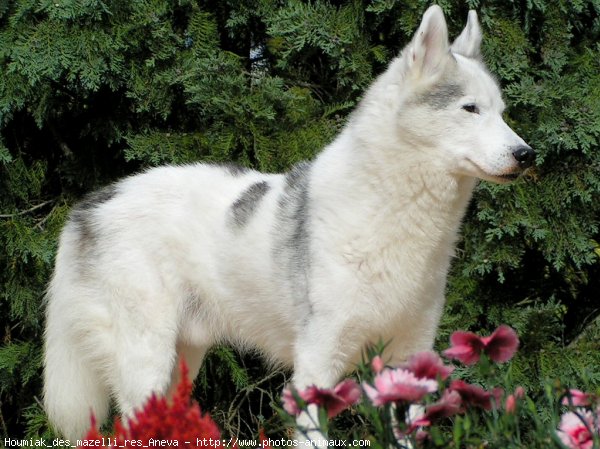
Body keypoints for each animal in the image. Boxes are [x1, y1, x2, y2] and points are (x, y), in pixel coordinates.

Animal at [45, 5, 536, 440]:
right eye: (470, 109)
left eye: (502, 112)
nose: (526, 155)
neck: (393, 213)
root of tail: (93, 203)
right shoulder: (316, 368)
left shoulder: (408, 363)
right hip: (146, 363)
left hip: (180, 366)